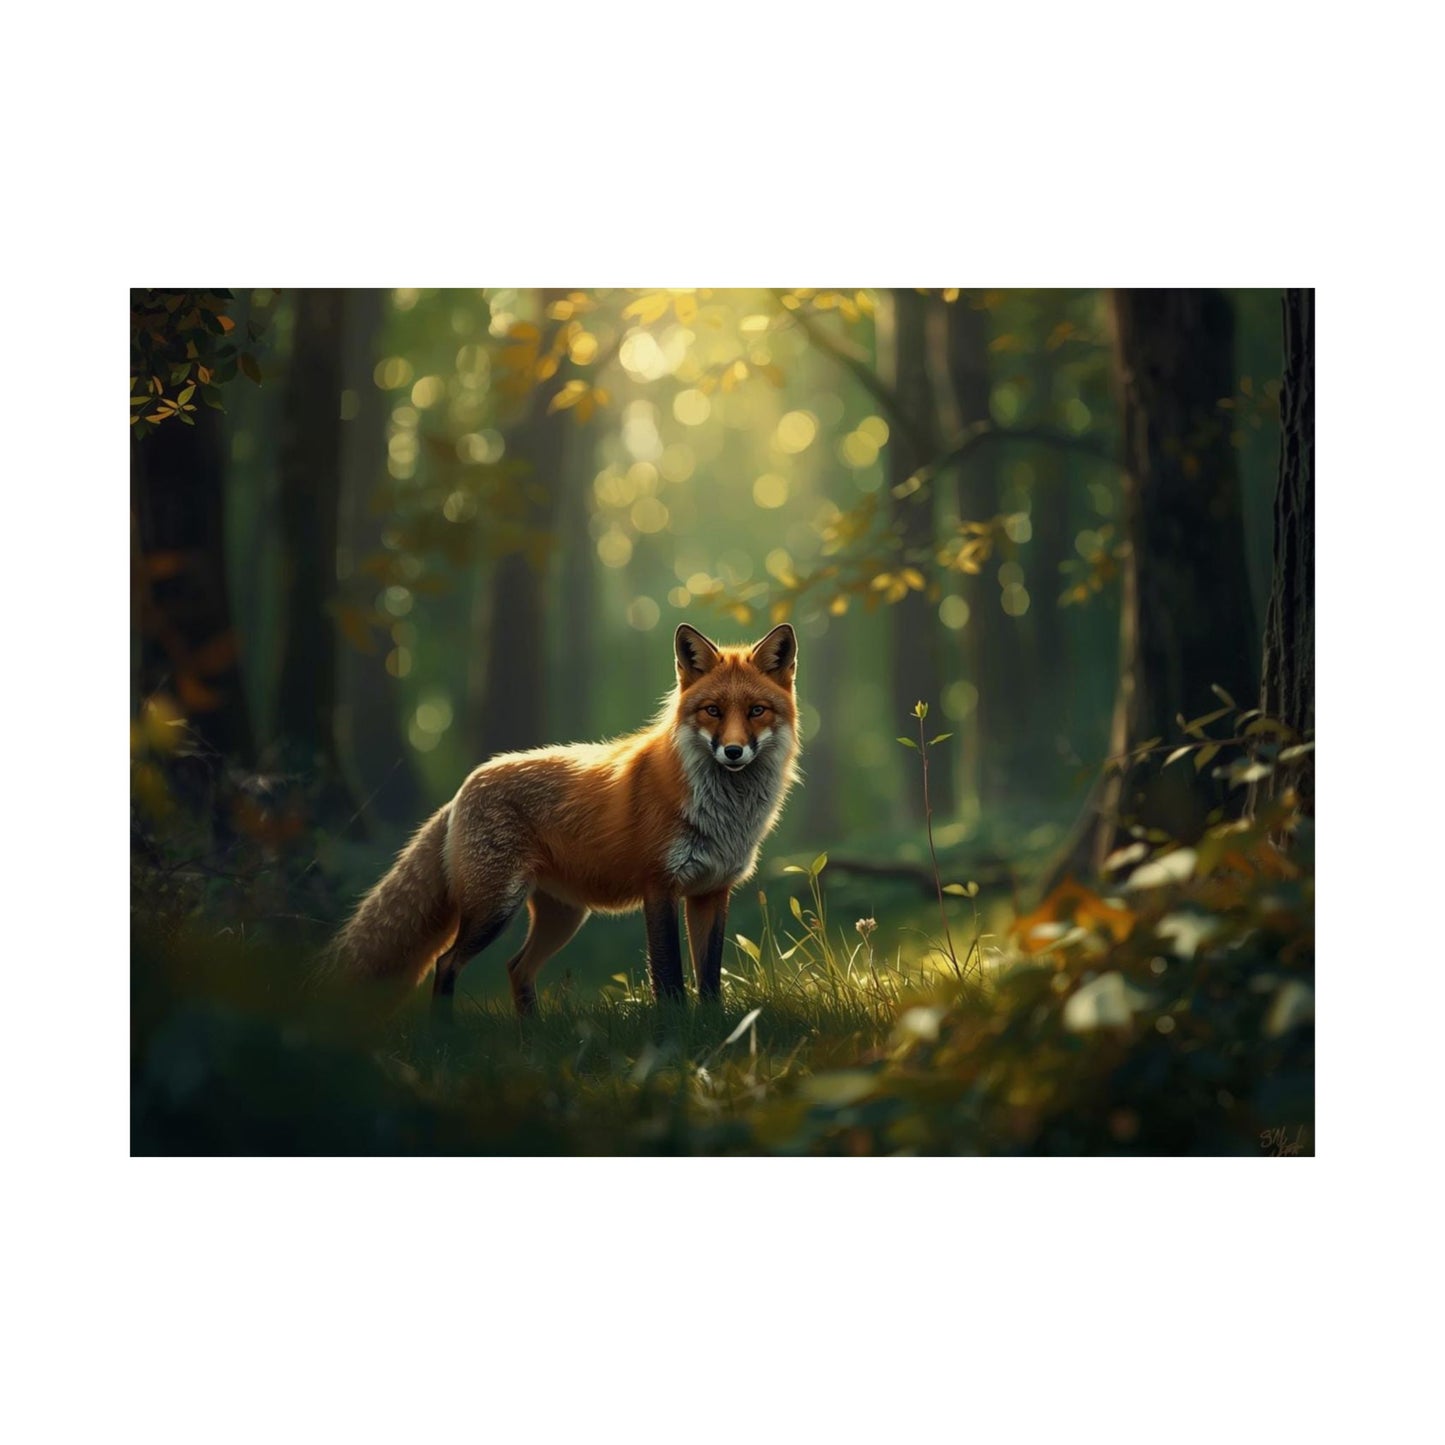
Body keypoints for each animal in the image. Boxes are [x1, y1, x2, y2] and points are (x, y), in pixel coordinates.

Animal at [326, 622, 800, 1014]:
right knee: (447, 963)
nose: (733, 752)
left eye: (756, 711)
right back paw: (444, 1035)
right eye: (713, 711)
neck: (723, 814)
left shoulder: (712, 891)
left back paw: (531, 1036)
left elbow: (709, 979)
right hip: (495, 907)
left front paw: (712, 1028)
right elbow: (669, 977)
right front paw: (675, 1032)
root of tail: (464, 788)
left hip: (562, 918)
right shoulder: (659, 886)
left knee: (516, 968)